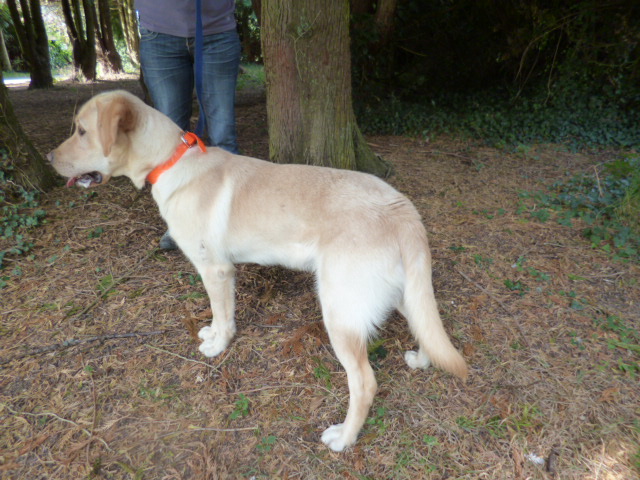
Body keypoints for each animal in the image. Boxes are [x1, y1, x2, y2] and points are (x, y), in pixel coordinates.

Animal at [47, 89, 468, 450]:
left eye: (81, 131)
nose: (49, 157)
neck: (171, 161)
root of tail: (403, 209)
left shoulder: (215, 271)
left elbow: (223, 316)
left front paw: (218, 345)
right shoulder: (222, 272)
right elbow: (222, 315)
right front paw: (214, 333)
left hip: (339, 312)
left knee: (365, 383)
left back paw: (344, 438)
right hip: (391, 294)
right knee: (424, 326)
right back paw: (422, 360)